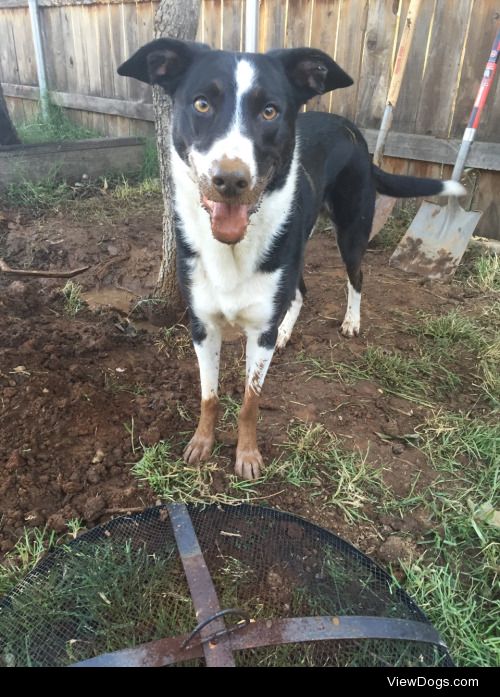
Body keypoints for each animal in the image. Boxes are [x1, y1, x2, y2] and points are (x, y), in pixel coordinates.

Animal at [119, 39, 466, 478]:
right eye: (201, 104)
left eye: (270, 111)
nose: (230, 180)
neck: (232, 248)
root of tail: (351, 128)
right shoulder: (202, 326)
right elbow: (209, 395)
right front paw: (202, 443)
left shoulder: (259, 332)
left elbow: (250, 402)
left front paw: (247, 455)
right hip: (294, 247)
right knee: (301, 289)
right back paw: (288, 330)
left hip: (350, 231)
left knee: (356, 276)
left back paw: (350, 321)